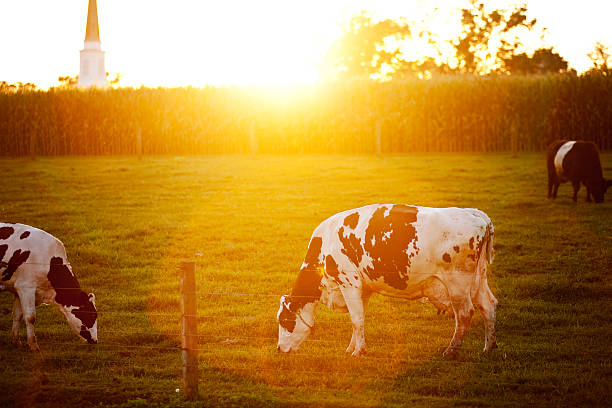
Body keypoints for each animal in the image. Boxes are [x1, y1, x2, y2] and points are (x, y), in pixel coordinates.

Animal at [278, 204, 498, 356]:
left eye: (285, 320)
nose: (279, 349)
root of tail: (474, 214)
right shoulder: (362, 289)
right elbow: (359, 319)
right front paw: (352, 348)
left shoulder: (348, 283)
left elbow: (355, 319)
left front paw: (358, 352)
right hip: (479, 279)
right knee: (489, 305)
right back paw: (489, 347)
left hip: (457, 284)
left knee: (464, 313)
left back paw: (451, 350)